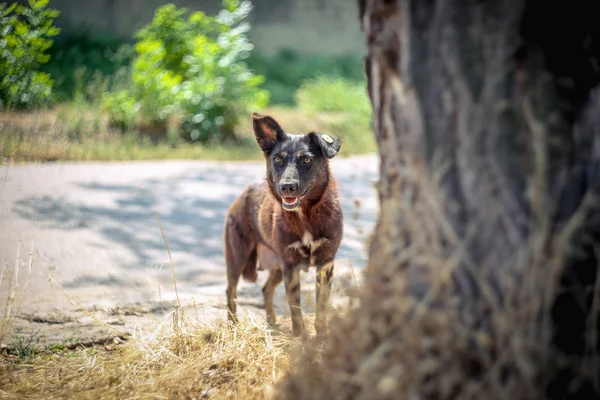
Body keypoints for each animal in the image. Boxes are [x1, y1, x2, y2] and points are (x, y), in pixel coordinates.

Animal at [223, 112, 342, 338]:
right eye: (277, 159)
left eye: (306, 159)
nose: (287, 187)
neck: (306, 215)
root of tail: (244, 192)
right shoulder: (291, 266)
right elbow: (296, 312)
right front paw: (300, 339)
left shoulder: (325, 264)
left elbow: (321, 308)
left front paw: (321, 337)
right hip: (237, 257)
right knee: (230, 290)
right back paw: (232, 326)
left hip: (277, 266)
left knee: (266, 289)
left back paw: (272, 321)